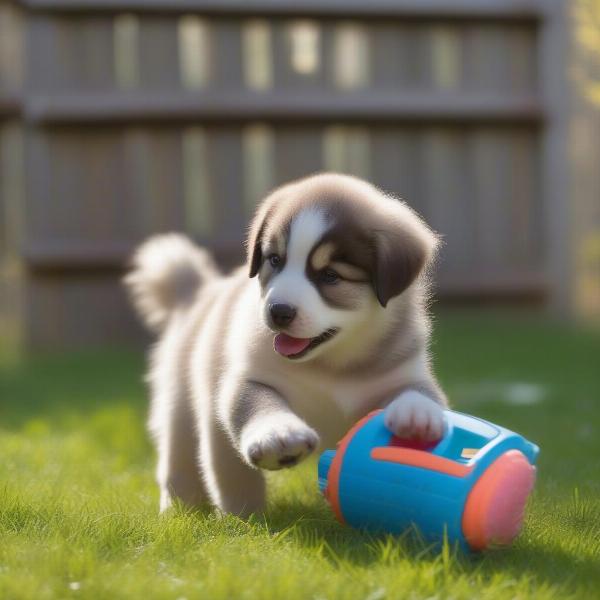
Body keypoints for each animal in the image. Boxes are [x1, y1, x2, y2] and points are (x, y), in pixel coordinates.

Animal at [125, 172, 446, 516]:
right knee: (194, 466)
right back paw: (192, 513)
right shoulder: (247, 377)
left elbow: (419, 392)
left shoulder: (403, 371)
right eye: (275, 260)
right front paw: (278, 434)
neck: (330, 365)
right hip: (180, 407)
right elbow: (257, 403)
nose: (278, 312)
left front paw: (417, 415)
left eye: (330, 276)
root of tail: (197, 291)